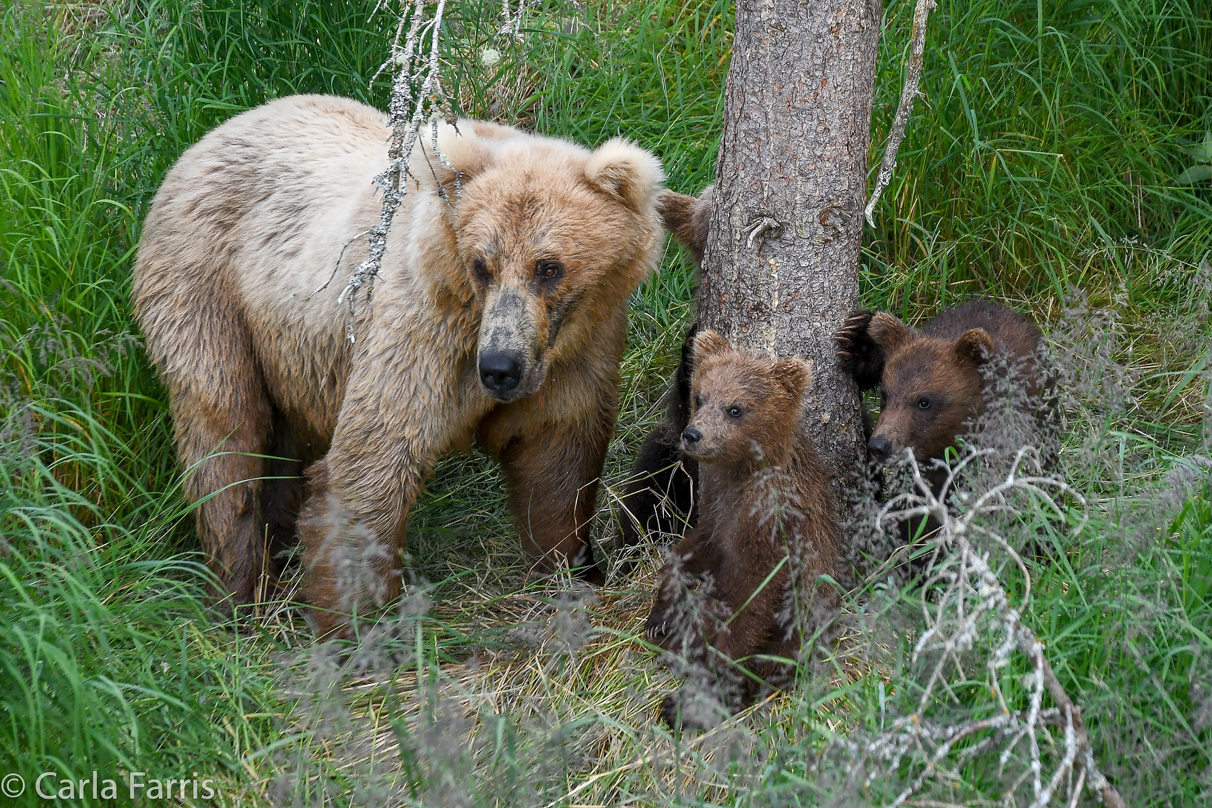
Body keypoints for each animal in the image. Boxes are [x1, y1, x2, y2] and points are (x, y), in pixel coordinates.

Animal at [137, 98, 673, 634]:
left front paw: (572, 570)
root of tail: (216, 133)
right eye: (482, 264)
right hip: (210, 290)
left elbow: (557, 462)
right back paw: (238, 593)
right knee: (223, 437)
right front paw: (357, 622)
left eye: (548, 267)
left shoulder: (577, 352)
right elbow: (372, 462)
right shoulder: (422, 335)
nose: (499, 366)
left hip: (293, 351)